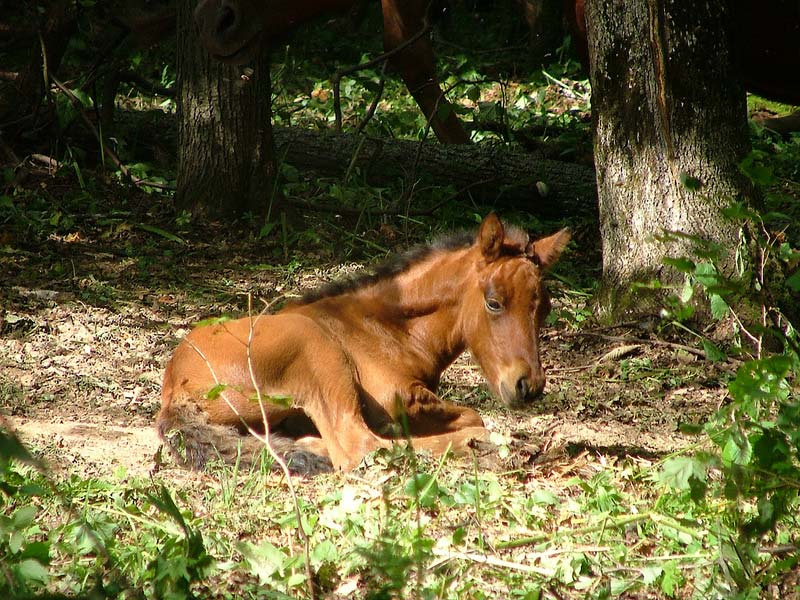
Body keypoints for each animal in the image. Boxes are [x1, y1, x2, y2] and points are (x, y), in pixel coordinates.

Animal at [157, 213, 570, 474]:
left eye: (545, 308)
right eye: (494, 302)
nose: (528, 386)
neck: (386, 326)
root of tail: (175, 385)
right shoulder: (394, 395)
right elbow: (471, 415)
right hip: (317, 352)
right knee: (357, 446)